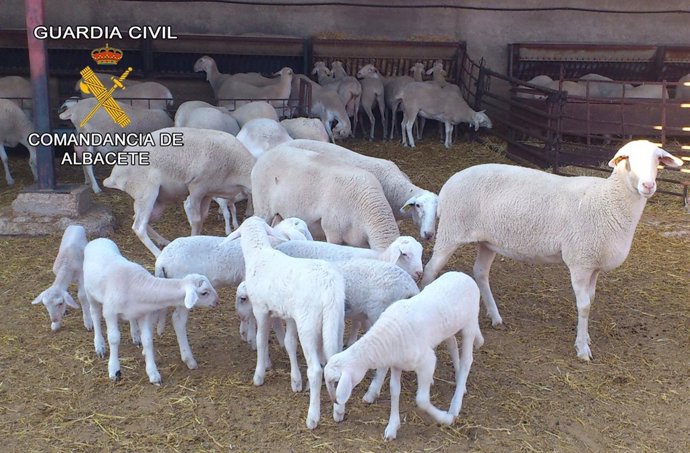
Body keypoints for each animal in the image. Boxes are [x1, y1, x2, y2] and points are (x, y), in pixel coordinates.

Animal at [83, 238, 218, 384]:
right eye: (204, 293)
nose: (217, 301)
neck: (136, 285)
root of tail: (99, 239)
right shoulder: (110, 312)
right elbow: (114, 339)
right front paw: (114, 370)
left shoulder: (144, 314)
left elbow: (147, 340)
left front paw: (153, 374)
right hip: (89, 292)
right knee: (95, 314)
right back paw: (99, 345)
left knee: (131, 319)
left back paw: (135, 336)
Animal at [103, 127, 255, 257]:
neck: (238, 169)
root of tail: (115, 175)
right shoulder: (197, 187)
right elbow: (196, 220)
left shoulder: (208, 192)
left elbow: (203, 217)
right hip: (146, 190)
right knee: (139, 227)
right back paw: (158, 254)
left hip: (157, 199)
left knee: (141, 219)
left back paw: (163, 241)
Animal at [226, 216, 346, 430]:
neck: (259, 254)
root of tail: (329, 286)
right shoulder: (290, 315)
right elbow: (289, 343)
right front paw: (295, 381)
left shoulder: (261, 309)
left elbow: (261, 340)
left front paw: (259, 376)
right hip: (337, 321)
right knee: (335, 364)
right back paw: (338, 412)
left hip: (308, 324)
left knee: (316, 371)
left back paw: (312, 417)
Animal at [324, 271, 484, 441]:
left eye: (336, 382)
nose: (334, 401)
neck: (387, 336)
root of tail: (464, 276)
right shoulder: (396, 363)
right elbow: (394, 390)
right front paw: (392, 427)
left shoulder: (427, 362)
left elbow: (422, 400)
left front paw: (445, 418)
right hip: (448, 328)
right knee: (452, 345)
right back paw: (459, 378)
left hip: (470, 324)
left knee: (467, 360)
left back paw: (455, 405)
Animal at [421, 140, 684, 361]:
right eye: (628, 159)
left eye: (658, 159)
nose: (648, 185)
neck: (607, 200)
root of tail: (449, 183)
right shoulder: (579, 261)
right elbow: (584, 305)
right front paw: (582, 349)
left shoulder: (594, 265)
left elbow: (591, 300)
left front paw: (585, 336)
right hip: (451, 231)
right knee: (430, 269)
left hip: (487, 241)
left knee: (480, 273)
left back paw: (496, 318)